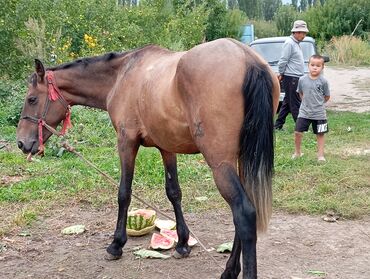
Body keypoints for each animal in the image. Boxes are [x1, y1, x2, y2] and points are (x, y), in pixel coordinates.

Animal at [15, 38, 278, 278]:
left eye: (31, 99)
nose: (22, 143)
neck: (122, 74)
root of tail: (248, 59)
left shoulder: (126, 142)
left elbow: (124, 193)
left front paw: (116, 244)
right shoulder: (167, 147)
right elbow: (174, 192)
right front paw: (182, 243)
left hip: (220, 164)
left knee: (244, 213)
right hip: (241, 161)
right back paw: (229, 270)